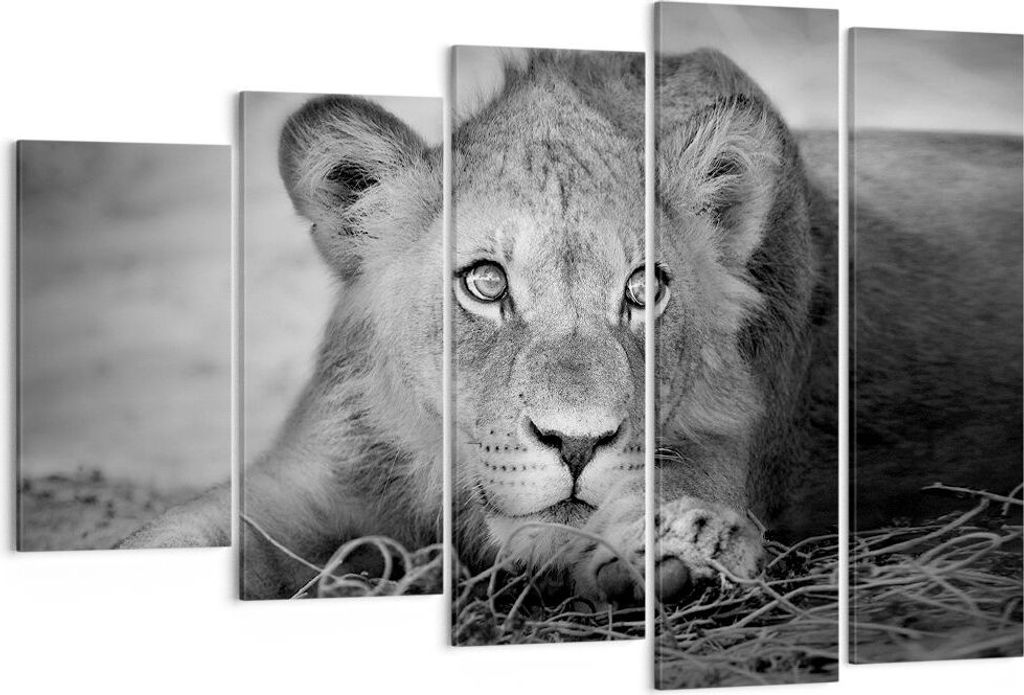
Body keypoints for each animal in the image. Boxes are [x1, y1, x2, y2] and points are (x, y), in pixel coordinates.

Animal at [120, 48, 838, 604]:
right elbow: (170, 538)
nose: (577, 444)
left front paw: (689, 541)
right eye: (486, 283)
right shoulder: (314, 474)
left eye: (643, 290)